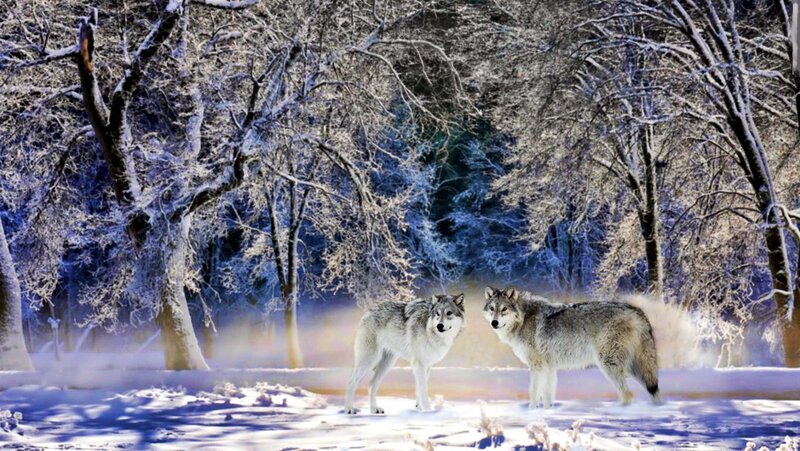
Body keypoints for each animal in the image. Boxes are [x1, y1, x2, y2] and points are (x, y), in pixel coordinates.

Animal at [483, 287, 661, 408]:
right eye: (492, 309)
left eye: (504, 309)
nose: (494, 323)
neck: (523, 319)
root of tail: (638, 311)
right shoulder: (549, 368)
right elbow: (547, 396)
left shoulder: (537, 366)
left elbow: (533, 394)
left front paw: (531, 413)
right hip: (633, 367)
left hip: (609, 364)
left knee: (628, 395)